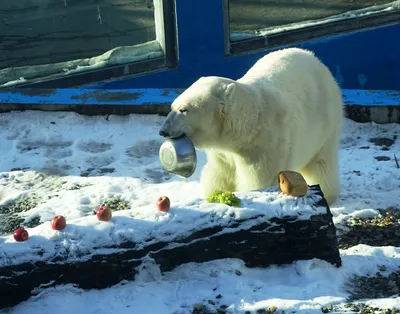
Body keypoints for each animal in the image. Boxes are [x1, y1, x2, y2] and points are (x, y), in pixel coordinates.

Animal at [159, 46, 344, 204]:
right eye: (172, 106)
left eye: (184, 110)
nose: (163, 131)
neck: (244, 129)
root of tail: (315, 59)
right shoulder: (223, 153)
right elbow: (219, 175)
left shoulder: (264, 148)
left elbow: (259, 181)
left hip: (326, 121)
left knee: (321, 163)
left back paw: (328, 193)